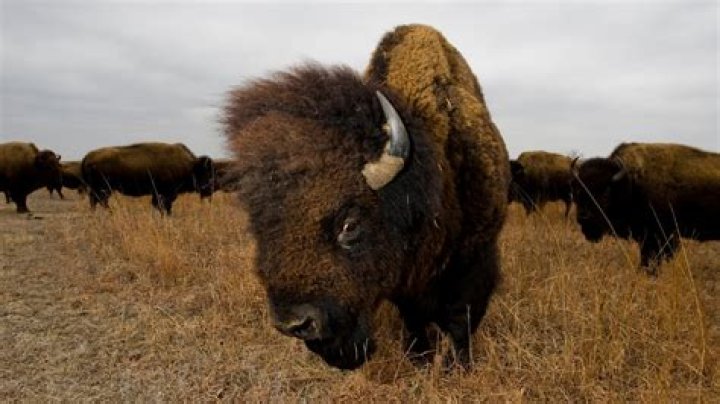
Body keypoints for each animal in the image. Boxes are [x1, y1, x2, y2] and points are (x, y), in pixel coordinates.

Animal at [81, 142, 214, 214]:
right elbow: (165, 207)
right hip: (104, 189)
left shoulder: (157, 194)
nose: (209, 190)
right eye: (206, 172)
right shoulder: (165, 194)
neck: (190, 165)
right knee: (100, 202)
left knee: (96, 202)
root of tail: (87, 156)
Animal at [223, 24, 509, 369]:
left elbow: (460, 321)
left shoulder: (476, 260)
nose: (294, 323)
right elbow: (414, 317)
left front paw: (458, 367)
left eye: (349, 224)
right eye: (259, 225)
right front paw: (419, 358)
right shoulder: (405, 282)